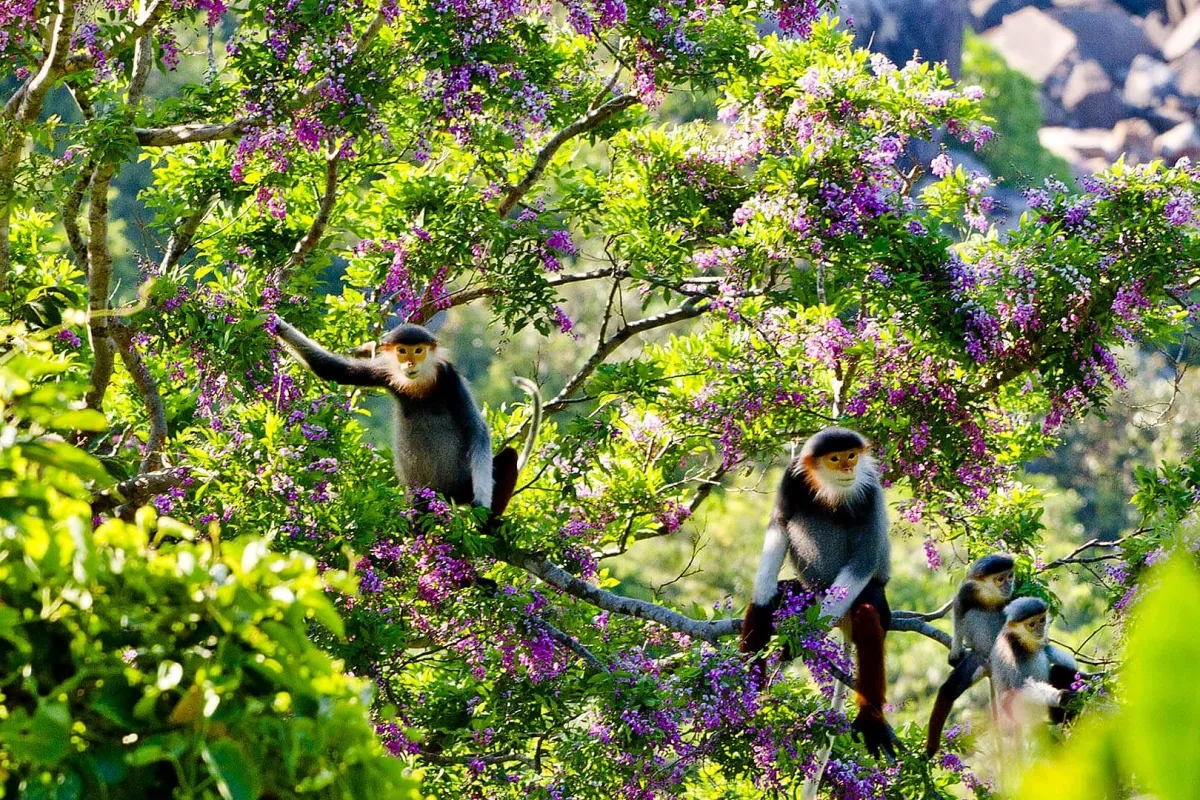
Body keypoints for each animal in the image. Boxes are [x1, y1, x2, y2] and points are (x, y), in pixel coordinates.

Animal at [271, 317, 540, 516]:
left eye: (418, 351)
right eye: (402, 351)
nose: (410, 363)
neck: (419, 384)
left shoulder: (449, 378)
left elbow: (477, 430)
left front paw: (482, 502)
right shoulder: (385, 372)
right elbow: (331, 368)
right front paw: (276, 321)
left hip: (463, 486)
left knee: (509, 456)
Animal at [741, 426, 900, 760]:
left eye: (851, 455)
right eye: (835, 459)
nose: (848, 469)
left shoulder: (870, 492)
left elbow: (864, 560)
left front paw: (800, 638)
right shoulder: (791, 479)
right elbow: (779, 525)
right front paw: (764, 606)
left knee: (868, 614)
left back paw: (871, 718)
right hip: (807, 592)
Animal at [924, 553, 1015, 757]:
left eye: (1010, 576)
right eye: (1000, 579)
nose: (1008, 585)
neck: (989, 593)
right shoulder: (968, 590)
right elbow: (959, 610)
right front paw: (955, 654)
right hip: (978, 660)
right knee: (948, 691)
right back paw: (930, 750)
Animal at [989, 596, 1078, 731]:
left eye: (1042, 620)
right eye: (1031, 624)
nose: (1040, 629)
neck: (1024, 641)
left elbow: (1052, 653)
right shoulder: (1012, 653)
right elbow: (1020, 687)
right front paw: (1060, 696)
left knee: (1061, 669)